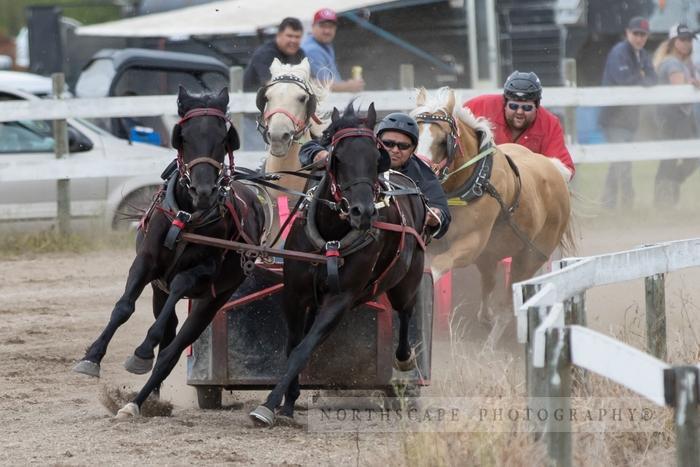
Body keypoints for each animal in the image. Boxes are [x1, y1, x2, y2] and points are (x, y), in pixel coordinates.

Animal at [73, 88, 266, 420]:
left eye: (222, 137)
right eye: (184, 137)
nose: (204, 191)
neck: (188, 216)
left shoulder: (202, 273)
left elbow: (180, 287)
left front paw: (140, 353)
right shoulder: (145, 263)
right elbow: (123, 307)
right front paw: (92, 358)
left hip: (212, 302)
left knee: (173, 348)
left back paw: (136, 401)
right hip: (158, 293)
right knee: (168, 331)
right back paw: (147, 399)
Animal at [249, 103, 430, 428]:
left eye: (376, 157)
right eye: (337, 157)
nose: (363, 212)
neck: (331, 236)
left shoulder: (340, 299)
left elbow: (303, 349)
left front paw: (268, 405)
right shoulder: (294, 294)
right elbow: (293, 345)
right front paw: (286, 403)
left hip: (405, 281)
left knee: (406, 312)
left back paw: (404, 358)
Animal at [410, 88, 576, 324]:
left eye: (443, 141)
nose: (418, 177)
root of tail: (553, 168)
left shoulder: (471, 243)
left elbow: (438, 266)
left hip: (530, 256)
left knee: (510, 296)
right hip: (489, 256)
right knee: (489, 283)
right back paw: (485, 316)